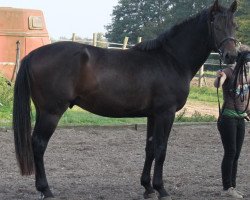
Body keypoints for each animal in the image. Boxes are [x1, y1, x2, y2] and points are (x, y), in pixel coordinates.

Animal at [13, 0, 238, 199]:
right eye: (216, 25)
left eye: (234, 26)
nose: (232, 56)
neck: (171, 59)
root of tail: (33, 55)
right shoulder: (166, 113)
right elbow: (161, 149)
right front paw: (161, 189)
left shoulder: (153, 115)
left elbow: (150, 148)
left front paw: (148, 188)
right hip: (51, 112)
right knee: (39, 144)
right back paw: (46, 190)